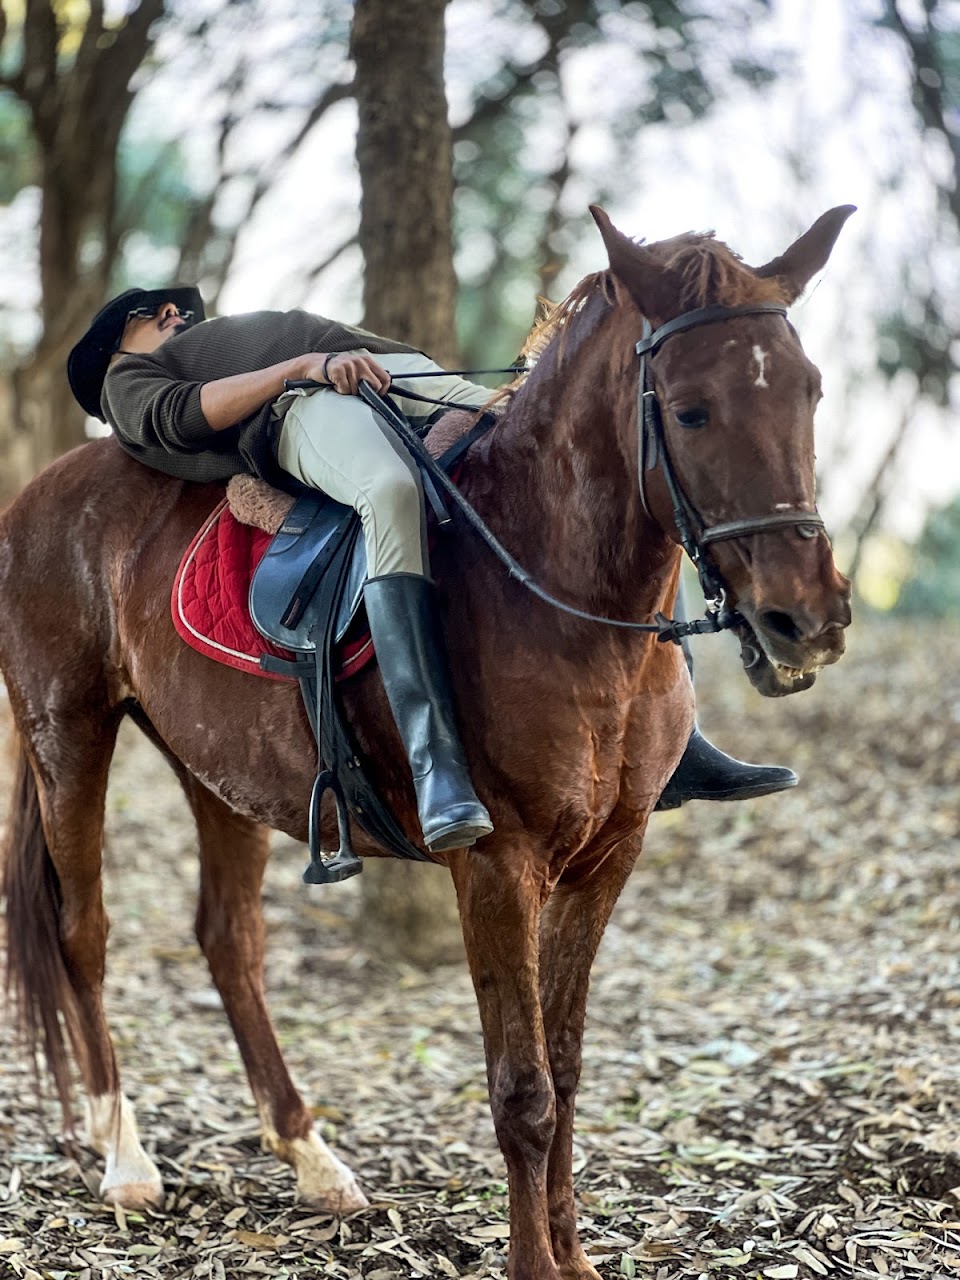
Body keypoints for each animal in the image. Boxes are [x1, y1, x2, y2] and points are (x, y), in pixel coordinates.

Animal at [1, 206, 853, 1280]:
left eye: (812, 390)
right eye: (693, 412)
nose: (806, 621)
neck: (550, 583)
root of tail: (37, 493)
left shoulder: (608, 858)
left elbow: (566, 1069)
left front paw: (572, 1259)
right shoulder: (497, 864)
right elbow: (523, 1091)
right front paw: (537, 1266)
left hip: (213, 769)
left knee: (229, 941)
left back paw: (314, 1160)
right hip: (67, 729)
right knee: (85, 932)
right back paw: (125, 1161)